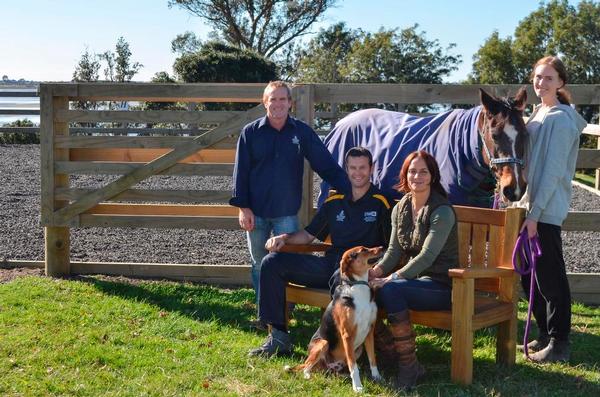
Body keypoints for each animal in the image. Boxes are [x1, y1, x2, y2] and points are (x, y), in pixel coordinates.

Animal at [288, 246, 382, 392]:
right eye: (363, 250)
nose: (382, 247)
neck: (358, 285)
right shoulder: (347, 334)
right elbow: (353, 366)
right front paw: (357, 386)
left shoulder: (370, 331)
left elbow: (373, 359)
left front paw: (376, 377)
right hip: (323, 343)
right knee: (306, 365)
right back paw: (307, 375)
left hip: (358, 349)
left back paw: (343, 375)